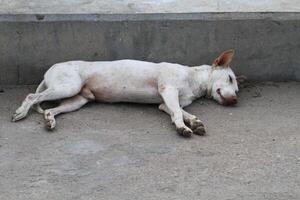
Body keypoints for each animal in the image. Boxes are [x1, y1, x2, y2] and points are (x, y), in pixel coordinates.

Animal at [12, 49, 245, 137]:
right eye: (230, 79)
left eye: (236, 89)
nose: (235, 100)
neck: (193, 79)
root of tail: (50, 69)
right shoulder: (168, 90)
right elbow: (178, 113)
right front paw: (182, 127)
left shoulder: (165, 103)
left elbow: (180, 111)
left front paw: (194, 122)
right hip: (68, 86)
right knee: (32, 97)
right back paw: (21, 112)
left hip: (77, 99)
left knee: (50, 110)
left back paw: (50, 120)